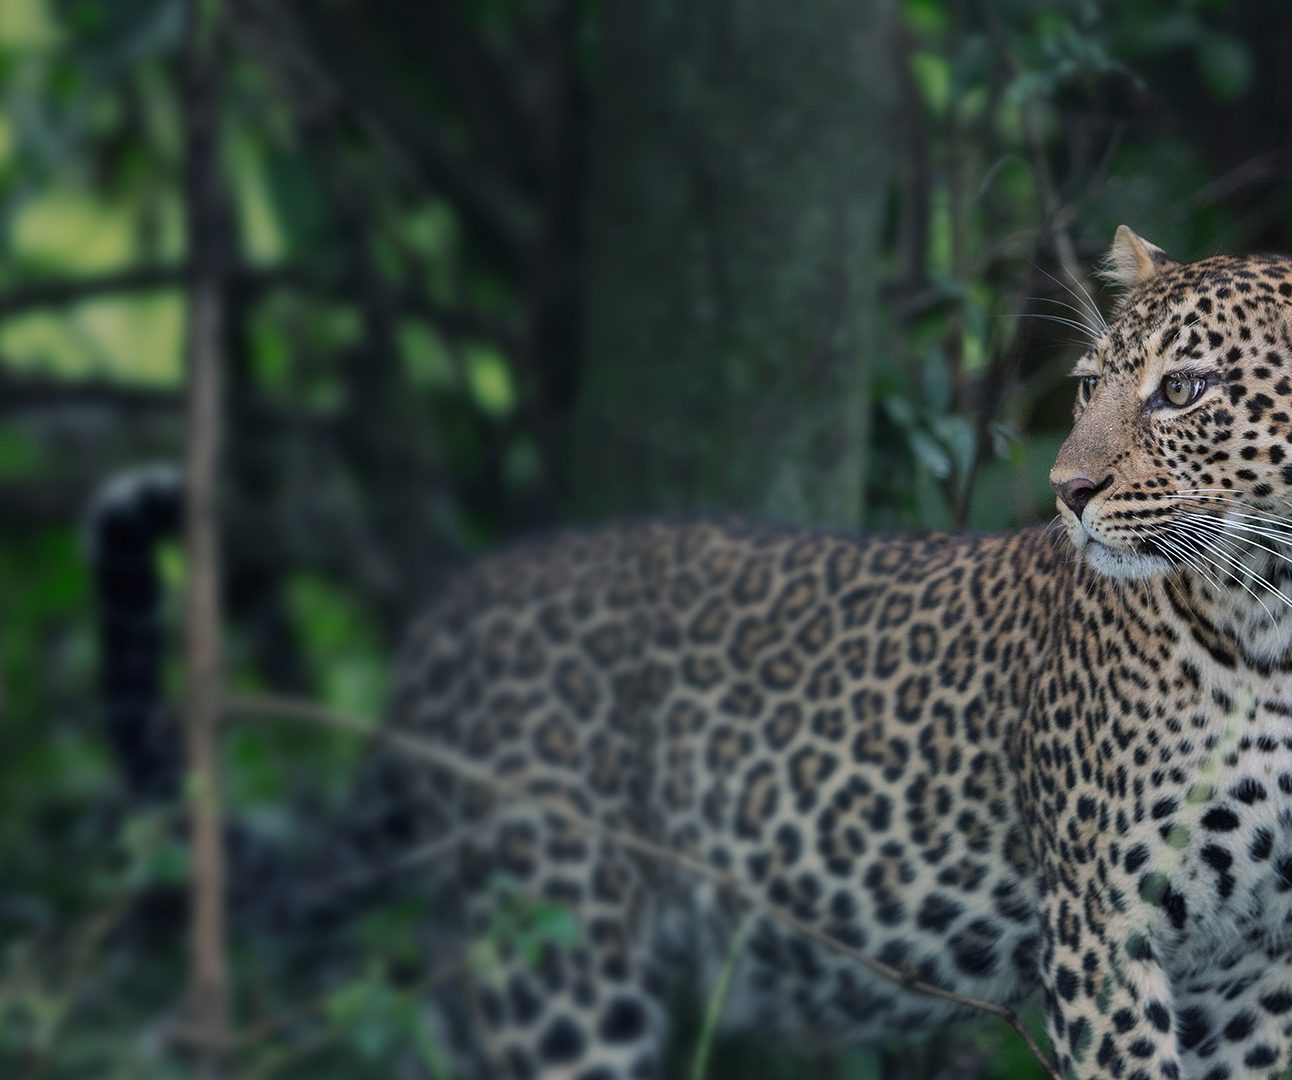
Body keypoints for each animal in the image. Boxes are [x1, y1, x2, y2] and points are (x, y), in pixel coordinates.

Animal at [93, 223, 1292, 1074]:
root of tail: (451, 614)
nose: (1066, 491)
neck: (1273, 623)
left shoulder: (1260, 968)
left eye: (1183, 390)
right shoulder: (1104, 930)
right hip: (557, 948)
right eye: (1090, 385)